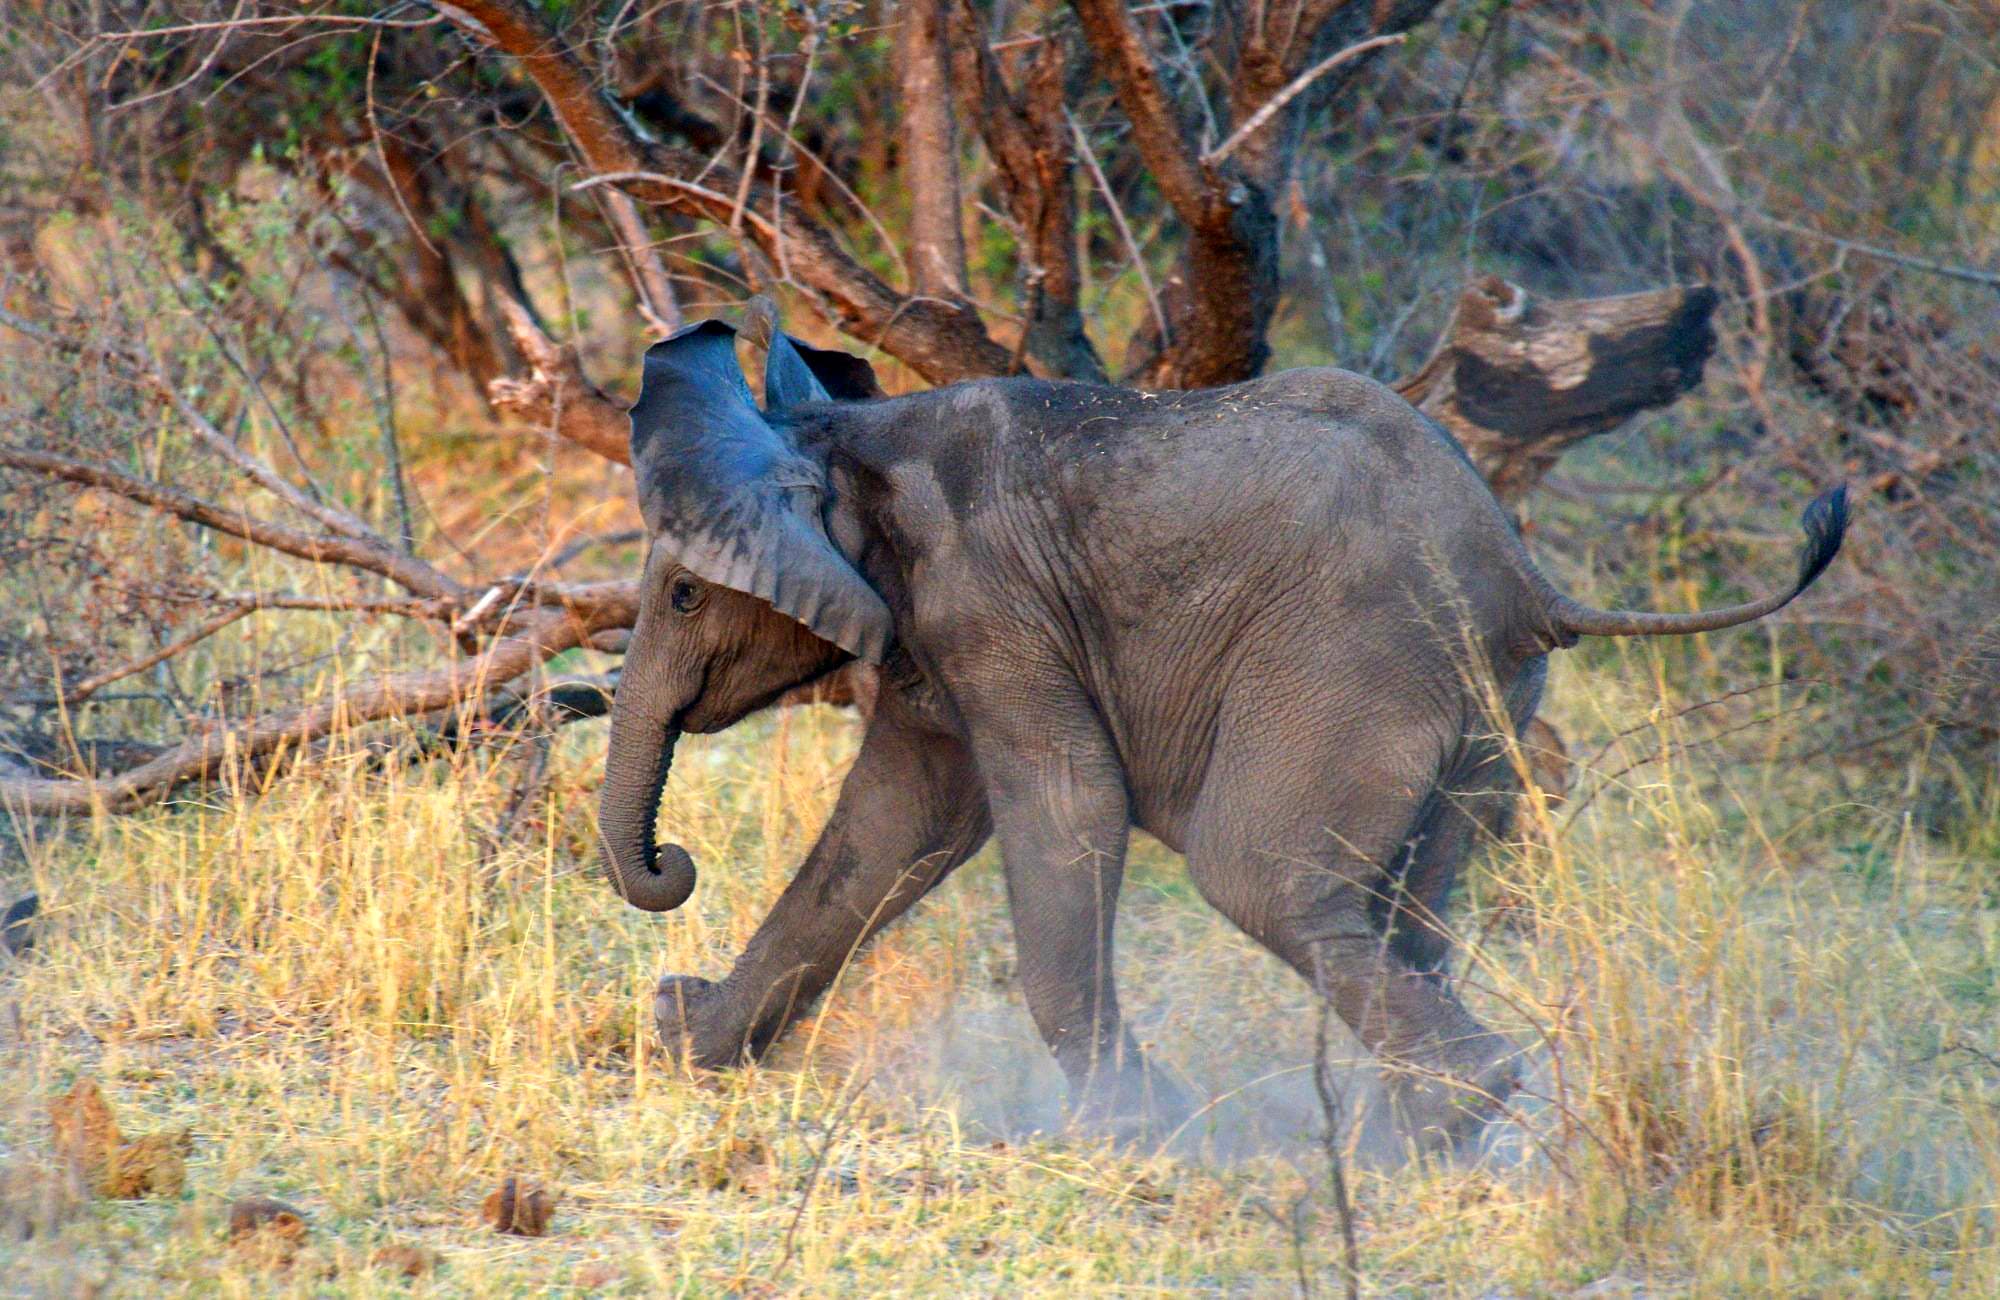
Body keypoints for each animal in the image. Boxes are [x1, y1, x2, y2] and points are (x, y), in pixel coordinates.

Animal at [592, 316, 1840, 1144]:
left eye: (684, 596)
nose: (672, 862)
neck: (839, 428)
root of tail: (1529, 581)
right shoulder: (929, 637)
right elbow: (890, 827)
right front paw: (687, 1041)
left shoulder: (985, 601)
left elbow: (1063, 805)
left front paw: (1124, 1130)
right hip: (1485, 706)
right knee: (1405, 903)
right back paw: (1416, 1139)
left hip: (1352, 666)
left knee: (1259, 875)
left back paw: (1440, 1117)